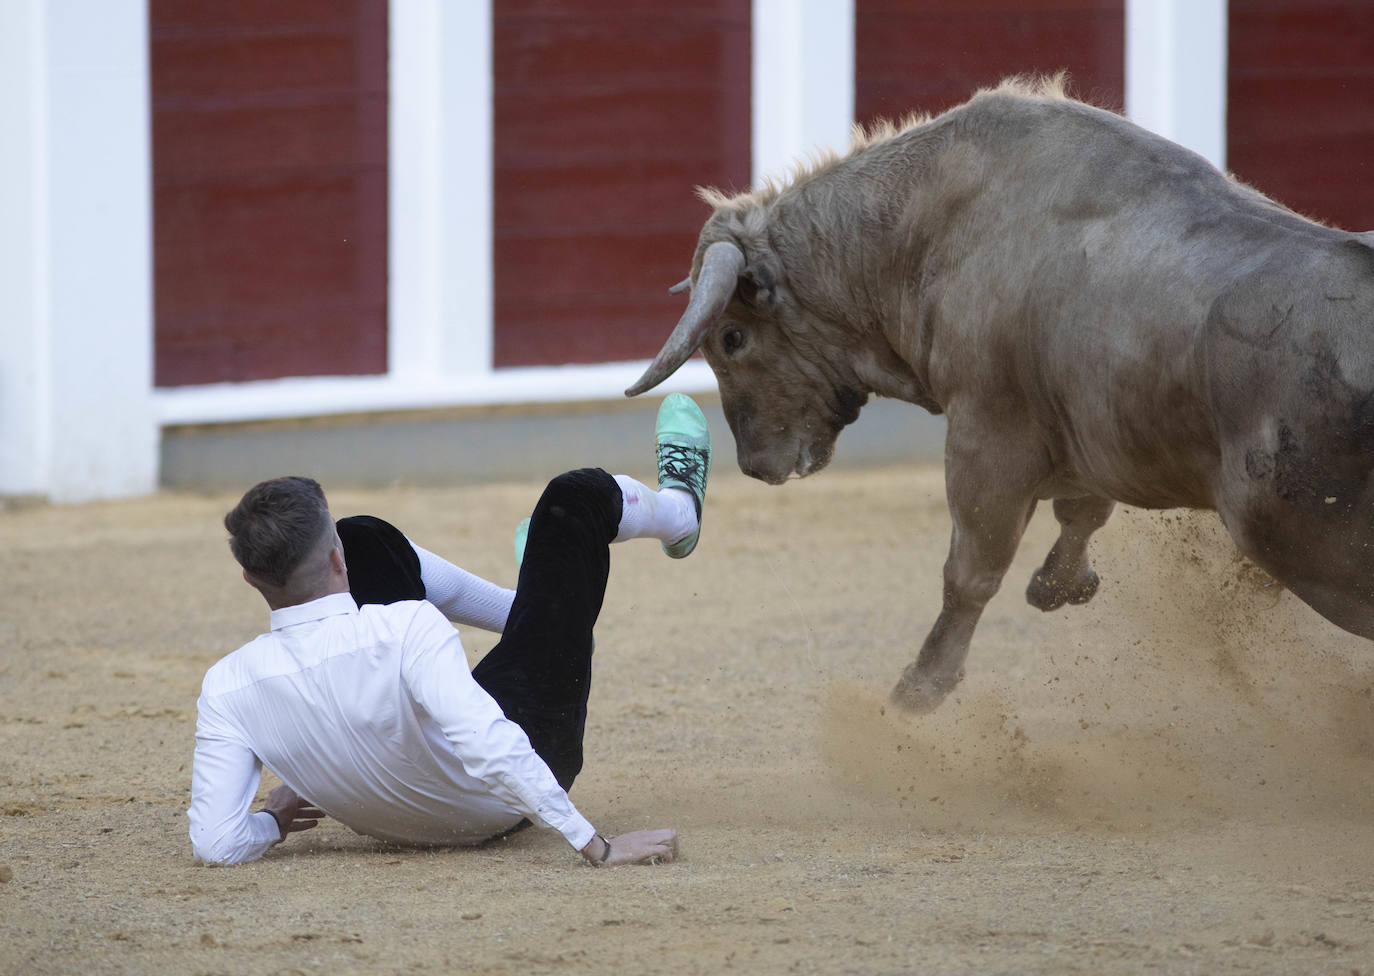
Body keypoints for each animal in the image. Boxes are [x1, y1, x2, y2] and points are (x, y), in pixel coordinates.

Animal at [626, 76, 1374, 709]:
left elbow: (972, 569)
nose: (756, 465)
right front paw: (1060, 586)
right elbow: (1081, 510)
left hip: (1301, 542)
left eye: (730, 338)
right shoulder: (1090, 430)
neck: (925, 233)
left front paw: (919, 689)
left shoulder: (988, 436)